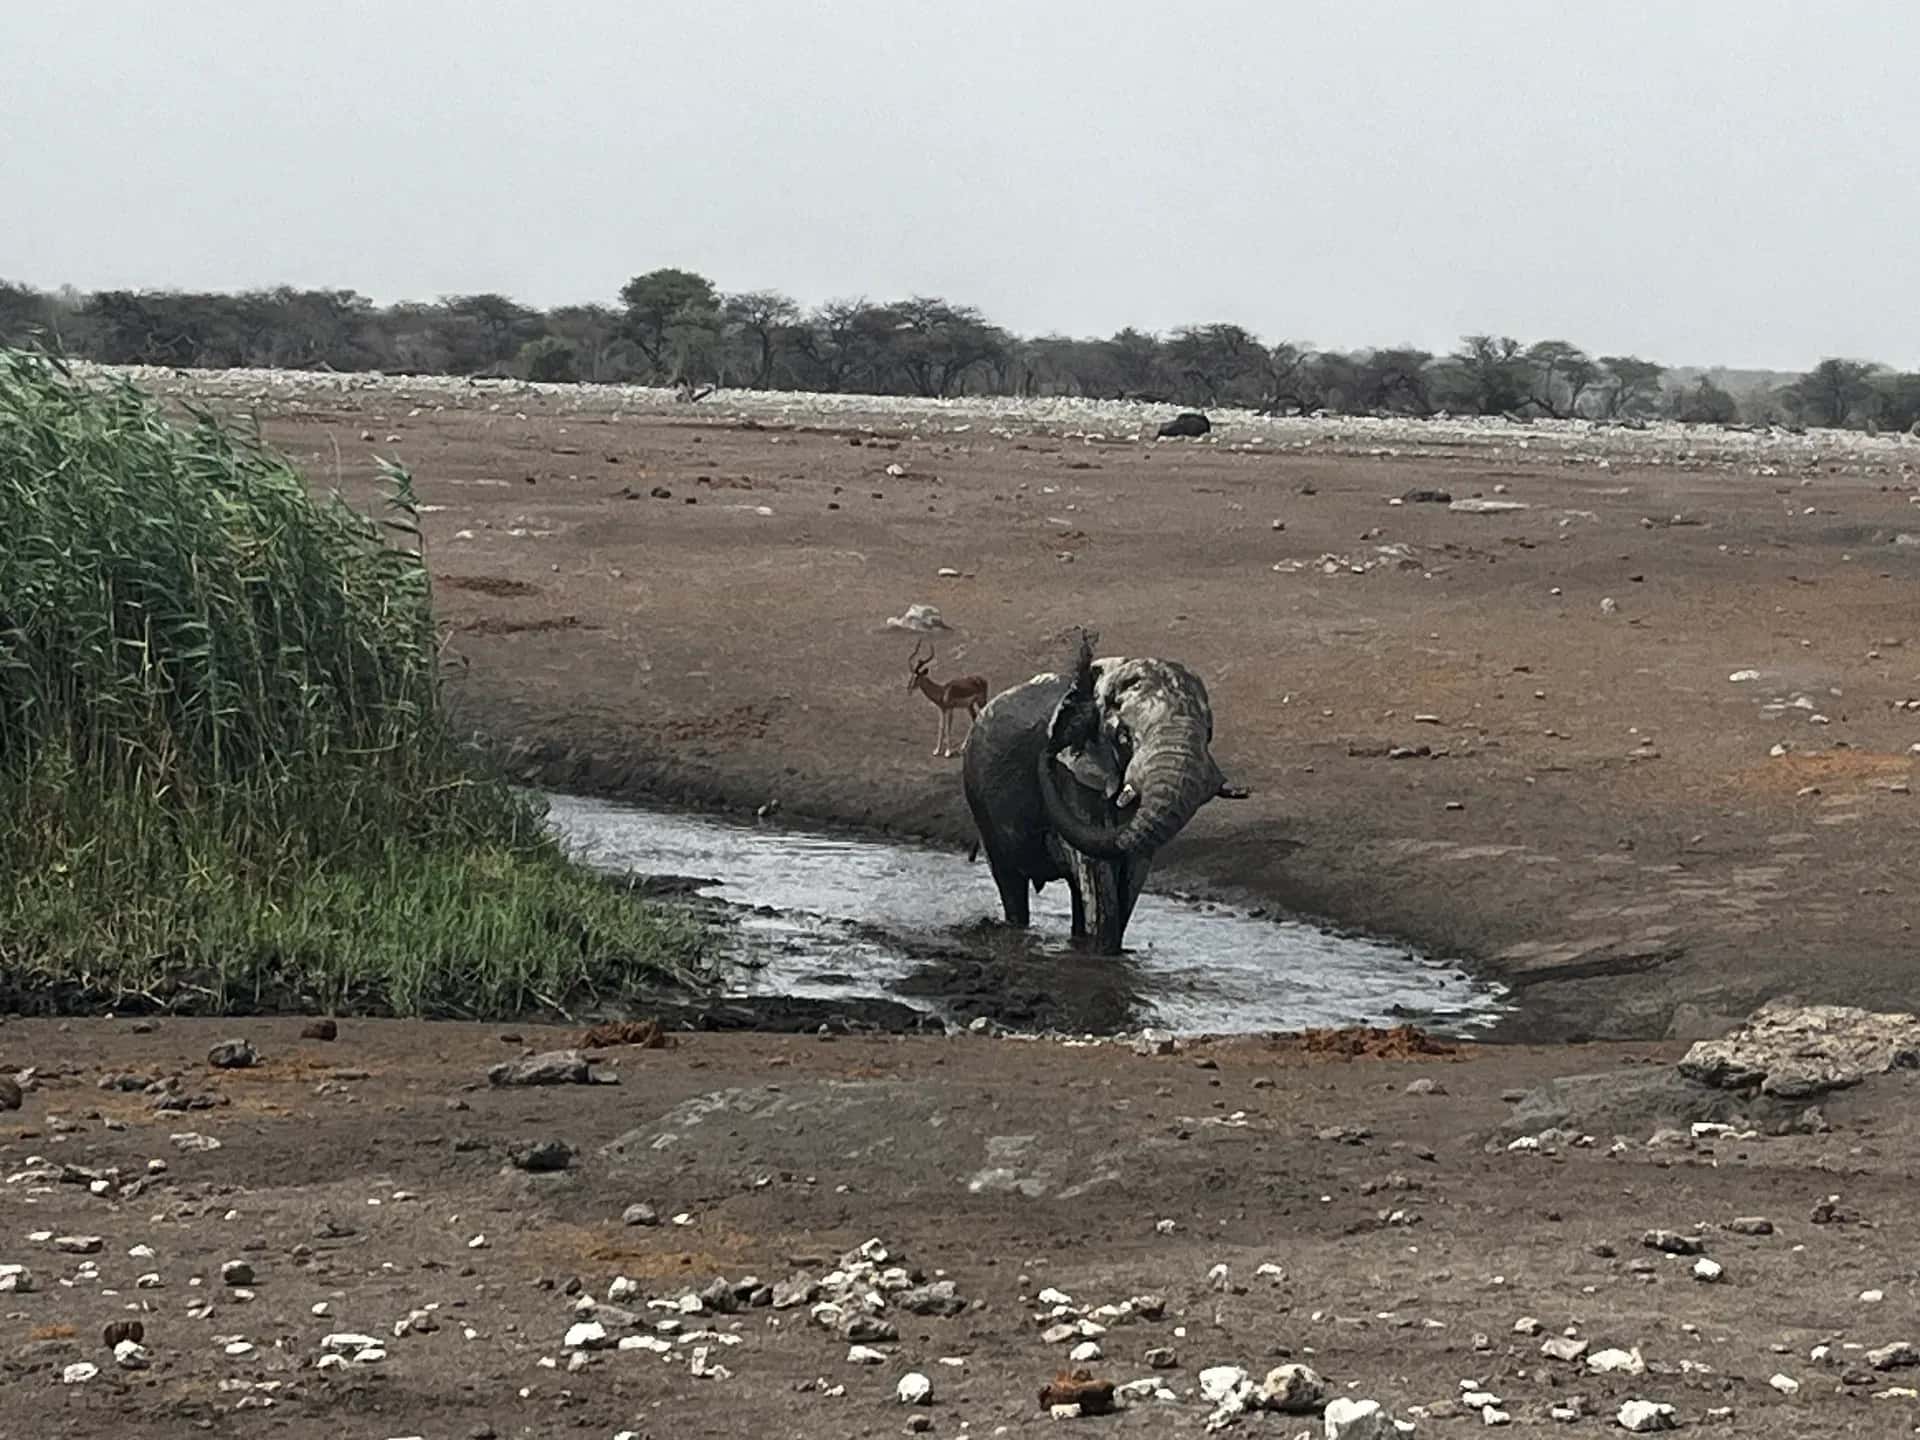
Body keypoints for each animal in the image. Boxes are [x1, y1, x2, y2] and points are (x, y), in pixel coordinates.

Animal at [961, 633, 1248, 954]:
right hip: (980, 801)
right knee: (1011, 884)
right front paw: (1102, 955)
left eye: (1208, 732)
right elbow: (1098, 876)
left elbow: (1131, 872)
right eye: (1124, 736)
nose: (1047, 751)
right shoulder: (1071, 777)